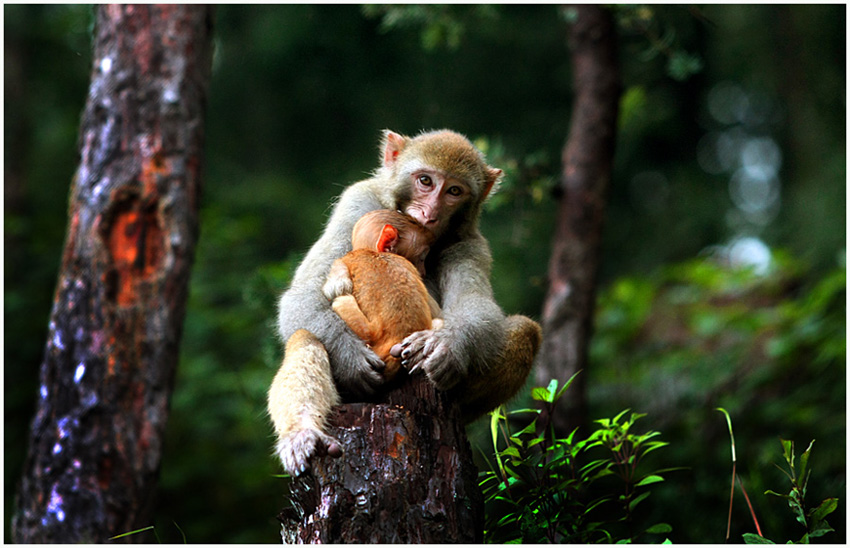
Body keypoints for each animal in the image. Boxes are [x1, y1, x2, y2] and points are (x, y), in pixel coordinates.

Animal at [270, 130, 536, 476]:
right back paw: (303, 434)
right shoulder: (356, 201)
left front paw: (447, 346)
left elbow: (477, 308)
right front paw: (351, 358)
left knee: (526, 330)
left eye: (454, 191)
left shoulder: (470, 243)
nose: (429, 214)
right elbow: (302, 295)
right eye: (425, 181)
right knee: (306, 335)